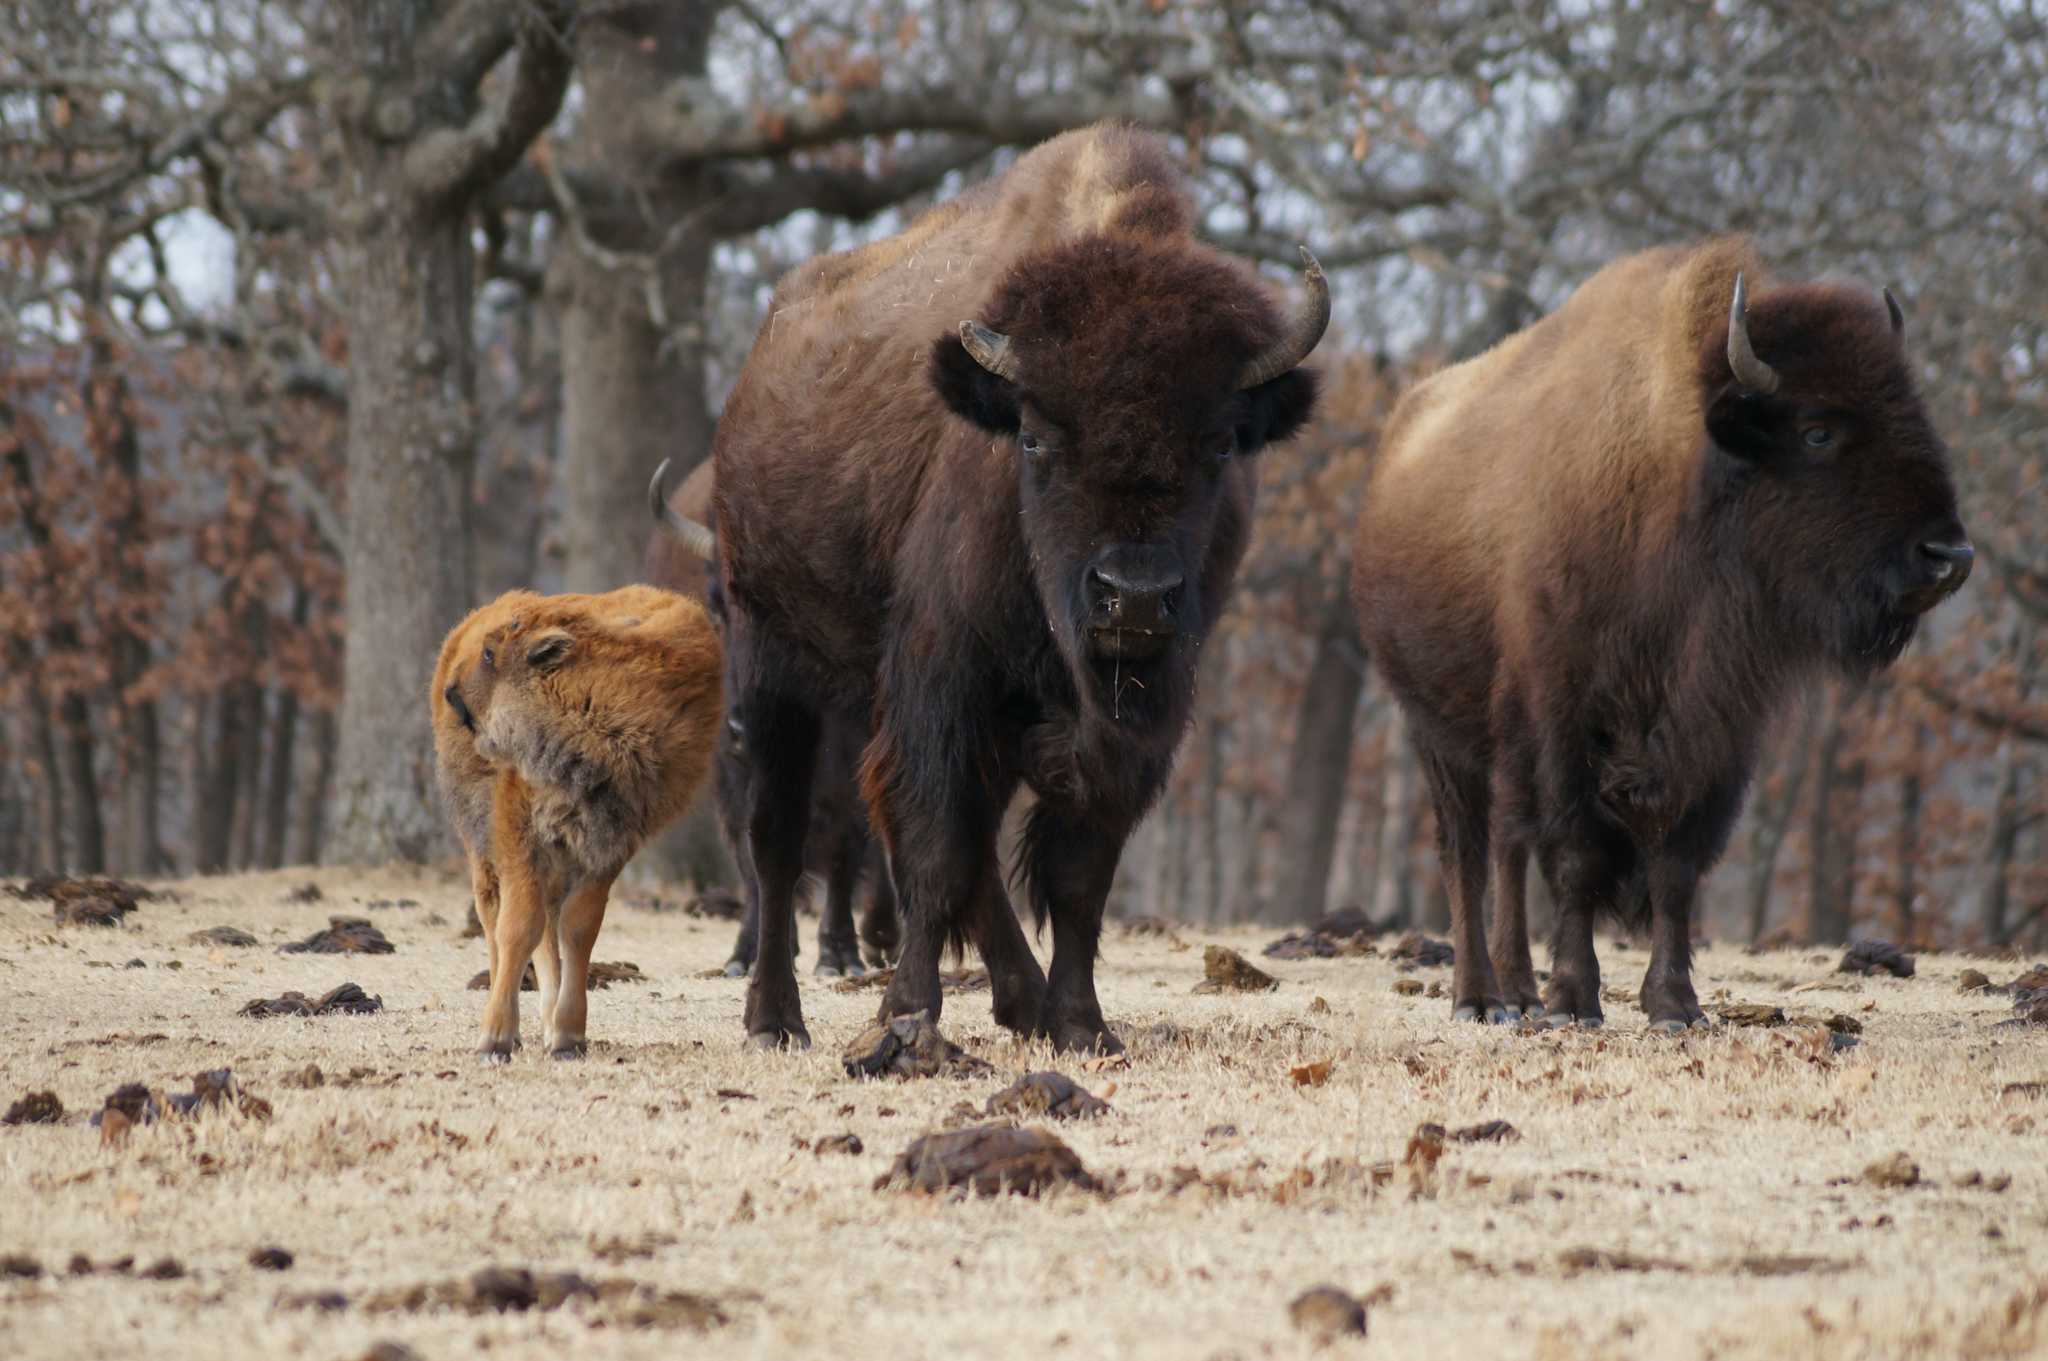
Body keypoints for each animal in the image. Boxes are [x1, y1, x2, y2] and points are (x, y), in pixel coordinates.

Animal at [430, 585, 720, 1064]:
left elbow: (577, 929)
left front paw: (568, 1037)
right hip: (482, 847)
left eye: (490, 654)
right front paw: (495, 1039)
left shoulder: (607, 845)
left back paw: (548, 1024)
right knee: (493, 918)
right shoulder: (521, 836)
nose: (453, 694)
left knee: (547, 929)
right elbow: (517, 927)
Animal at [647, 458, 897, 978]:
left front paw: (838, 956)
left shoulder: (851, 762)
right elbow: (752, 856)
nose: (745, 730)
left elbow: (845, 848)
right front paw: (748, 952)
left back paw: (880, 937)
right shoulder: (732, 777)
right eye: (716, 604)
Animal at [716, 119, 1327, 1047]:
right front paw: (908, 1014)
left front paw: (1079, 1024)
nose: (1133, 594)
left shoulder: (1134, 722)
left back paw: (1022, 1001)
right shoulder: (942, 687)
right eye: (1035, 438)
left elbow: (1076, 873)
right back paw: (775, 1018)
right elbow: (933, 848)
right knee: (778, 839)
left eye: (1222, 442)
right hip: (771, 660)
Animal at [1359, 238, 1966, 1031]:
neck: (1676, 484)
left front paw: (1675, 1005)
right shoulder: (1562, 718)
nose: (1949, 554)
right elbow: (1576, 856)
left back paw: (1517, 993)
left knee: (1507, 848)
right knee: (1466, 852)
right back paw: (1479, 998)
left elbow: (1677, 866)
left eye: (1914, 410)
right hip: (1436, 730)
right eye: (1818, 429)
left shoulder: (1720, 732)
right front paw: (1576, 1000)